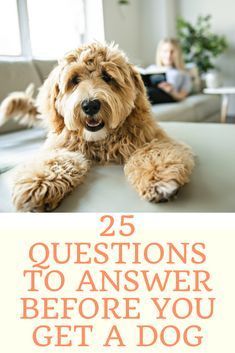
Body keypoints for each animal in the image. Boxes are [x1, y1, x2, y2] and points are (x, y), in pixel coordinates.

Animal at [0, 42, 195, 210]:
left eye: (107, 77)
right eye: (75, 80)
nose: (90, 105)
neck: (101, 141)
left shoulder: (154, 138)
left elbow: (153, 153)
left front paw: (158, 179)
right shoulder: (59, 146)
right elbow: (55, 160)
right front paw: (39, 183)